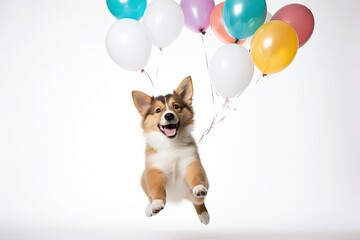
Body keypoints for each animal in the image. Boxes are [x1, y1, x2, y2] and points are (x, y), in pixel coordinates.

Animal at [132, 76, 210, 224]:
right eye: (158, 110)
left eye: (176, 106)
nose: (169, 116)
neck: (171, 144)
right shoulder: (154, 170)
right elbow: (156, 188)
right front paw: (157, 203)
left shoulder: (191, 162)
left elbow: (196, 177)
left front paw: (198, 187)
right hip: (142, 179)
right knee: (148, 195)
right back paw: (149, 207)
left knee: (198, 201)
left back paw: (204, 214)